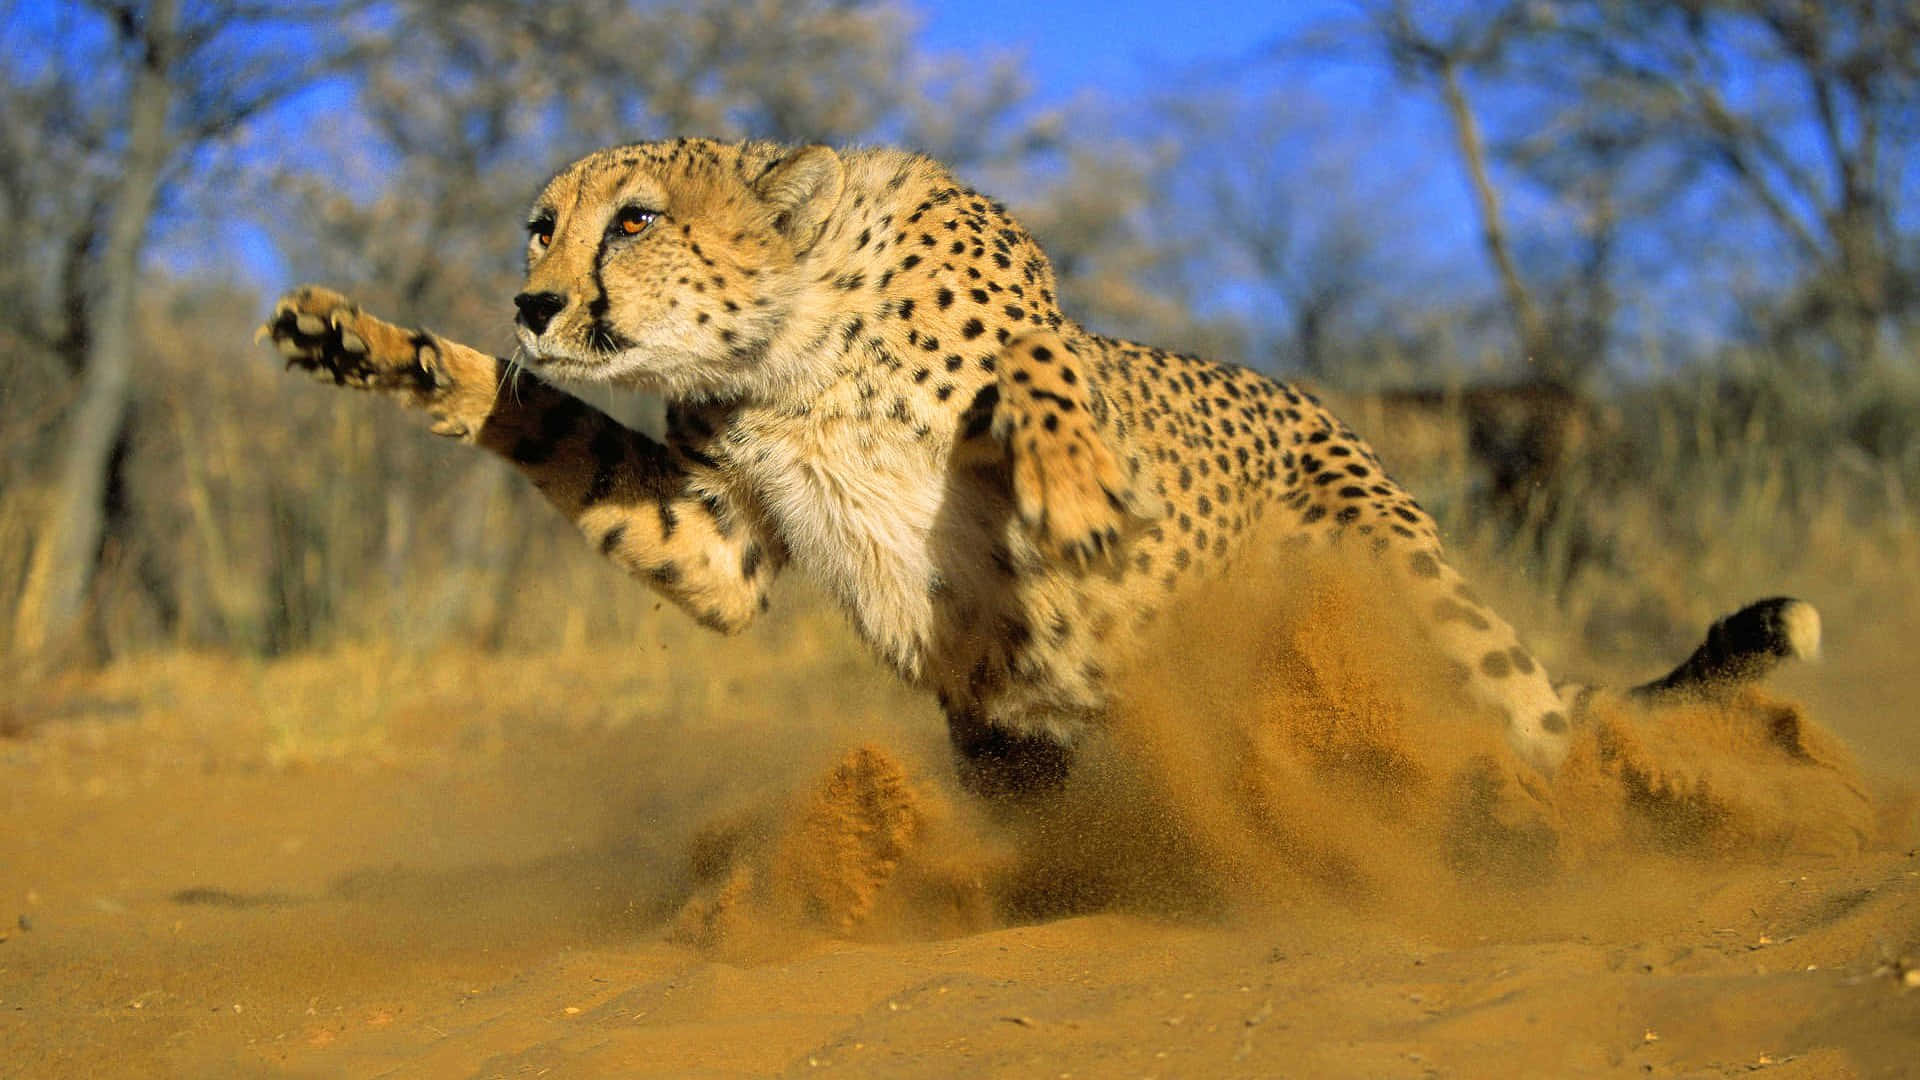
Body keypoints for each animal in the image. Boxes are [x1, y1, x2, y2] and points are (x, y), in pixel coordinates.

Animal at [260, 137, 1820, 801]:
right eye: (541, 226)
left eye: (634, 220)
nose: (532, 301)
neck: (792, 352)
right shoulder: (718, 541)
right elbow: (546, 425)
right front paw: (376, 346)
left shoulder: (1034, 318)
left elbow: (1042, 372)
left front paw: (1067, 488)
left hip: (1397, 579)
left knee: (1536, 726)